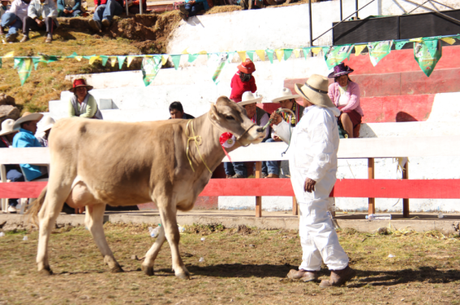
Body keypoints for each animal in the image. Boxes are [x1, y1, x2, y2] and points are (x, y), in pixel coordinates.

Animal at [30, 97, 264, 278]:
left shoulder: (174, 199)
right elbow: (172, 233)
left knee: (93, 224)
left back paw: (113, 263)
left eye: (244, 111)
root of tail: (64, 122)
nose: (260, 129)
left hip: (94, 192)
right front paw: (180, 269)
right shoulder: (164, 194)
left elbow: (164, 232)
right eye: (230, 116)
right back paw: (44, 265)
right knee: (47, 217)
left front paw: (147, 264)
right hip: (60, 182)